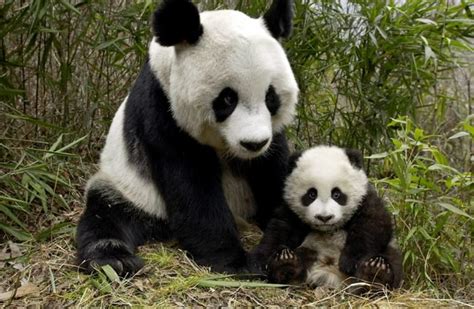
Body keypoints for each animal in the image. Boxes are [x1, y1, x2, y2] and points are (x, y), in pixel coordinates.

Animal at [77, 0, 300, 274]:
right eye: (227, 99)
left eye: (271, 97)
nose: (253, 144)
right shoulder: (163, 110)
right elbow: (192, 187)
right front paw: (235, 263)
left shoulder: (271, 136)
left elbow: (273, 170)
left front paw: (281, 247)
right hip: (129, 188)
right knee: (106, 215)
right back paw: (114, 260)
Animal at [250, 144, 402, 288]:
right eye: (311, 194)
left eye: (337, 194)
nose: (324, 218)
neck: (329, 229)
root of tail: (330, 275)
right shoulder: (291, 210)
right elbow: (279, 230)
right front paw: (259, 262)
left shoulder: (365, 199)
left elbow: (373, 225)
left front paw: (350, 262)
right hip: (310, 250)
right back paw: (285, 265)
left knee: (391, 259)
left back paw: (376, 273)